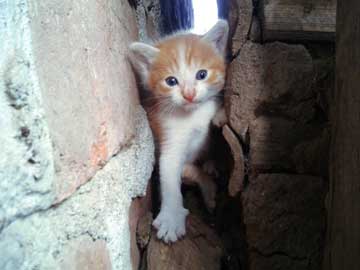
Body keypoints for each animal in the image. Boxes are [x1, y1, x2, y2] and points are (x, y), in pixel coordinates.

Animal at [129, 19, 228, 243]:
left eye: (202, 74)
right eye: (171, 81)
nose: (189, 94)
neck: (192, 115)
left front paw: (221, 114)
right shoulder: (167, 136)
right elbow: (170, 174)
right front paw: (171, 217)